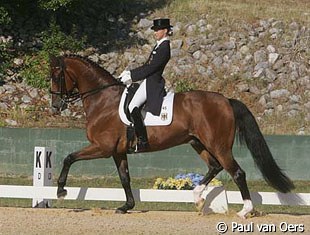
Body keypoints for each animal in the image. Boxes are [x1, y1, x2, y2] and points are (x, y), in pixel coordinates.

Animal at [49, 53, 294, 218]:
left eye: (57, 75)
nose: (55, 106)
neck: (103, 99)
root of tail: (226, 100)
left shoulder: (103, 147)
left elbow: (69, 158)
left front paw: (61, 191)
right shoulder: (117, 151)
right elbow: (125, 178)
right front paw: (126, 206)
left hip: (219, 145)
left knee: (237, 173)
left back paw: (244, 211)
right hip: (198, 142)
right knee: (215, 166)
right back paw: (197, 197)